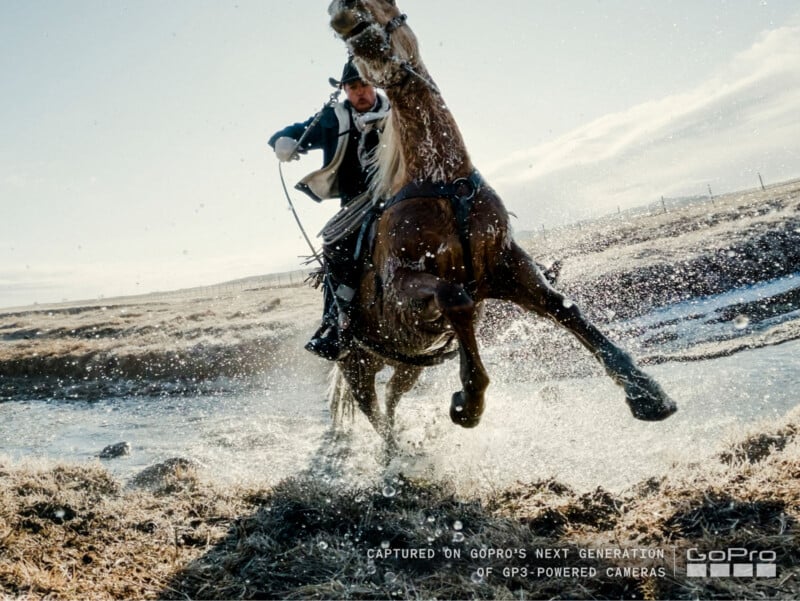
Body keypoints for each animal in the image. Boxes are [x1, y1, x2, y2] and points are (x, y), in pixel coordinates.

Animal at [325, 0, 676, 449]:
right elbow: (456, 299)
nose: (346, 17)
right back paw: (395, 457)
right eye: (344, 41)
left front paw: (646, 392)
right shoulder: (404, 285)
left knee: (391, 398)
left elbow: (563, 308)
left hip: (408, 363)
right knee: (375, 414)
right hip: (357, 366)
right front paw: (467, 405)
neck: (444, 180)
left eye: (392, 7)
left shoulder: (505, 266)